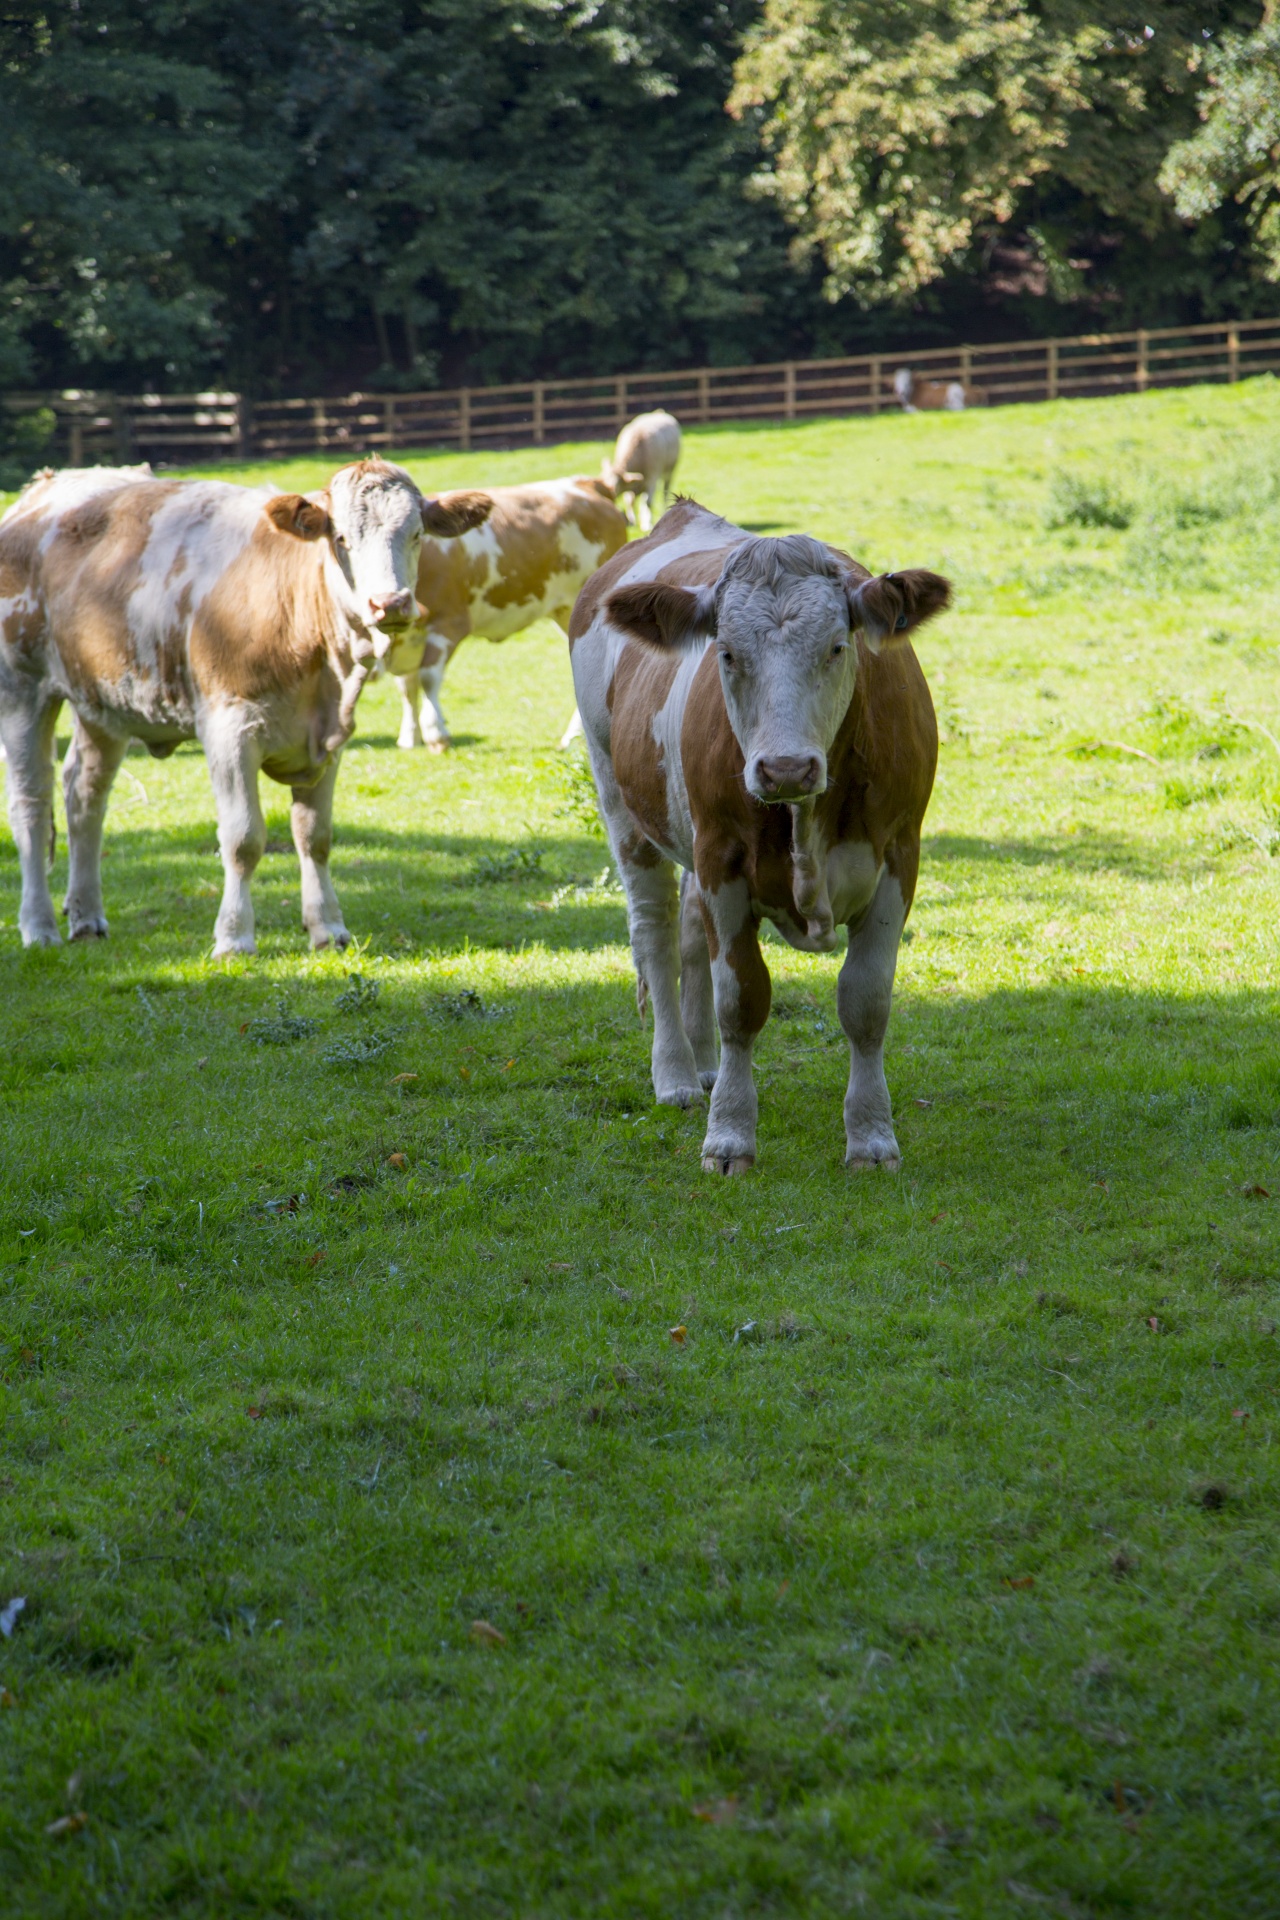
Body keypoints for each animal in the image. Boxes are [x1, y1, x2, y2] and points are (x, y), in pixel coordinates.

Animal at [0, 456, 491, 952]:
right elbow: (243, 839)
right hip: (22, 688)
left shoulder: (329, 740)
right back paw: (39, 925)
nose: (389, 603)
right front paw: (234, 936)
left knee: (84, 795)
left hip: (104, 702)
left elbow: (315, 836)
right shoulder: (229, 730)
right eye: (341, 539)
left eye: (417, 534)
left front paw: (328, 927)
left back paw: (87, 916)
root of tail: (43, 490)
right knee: (31, 805)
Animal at [393, 472, 629, 748]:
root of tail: (587, 484)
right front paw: (410, 736)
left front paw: (436, 732)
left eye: (416, 533)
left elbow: (427, 677)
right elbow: (407, 684)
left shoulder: (449, 623)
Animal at [571, 495, 951, 1175]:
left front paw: (871, 1136)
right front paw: (729, 1135)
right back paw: (676, 1074)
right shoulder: (721, 858)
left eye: (837, 647)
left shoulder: (900, 856)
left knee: (688, 936)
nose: (785, 768)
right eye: (725, 653)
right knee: (656, 935)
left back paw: (703, 1065)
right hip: (622, 807)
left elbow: (866, 1002)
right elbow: (741, 1001)